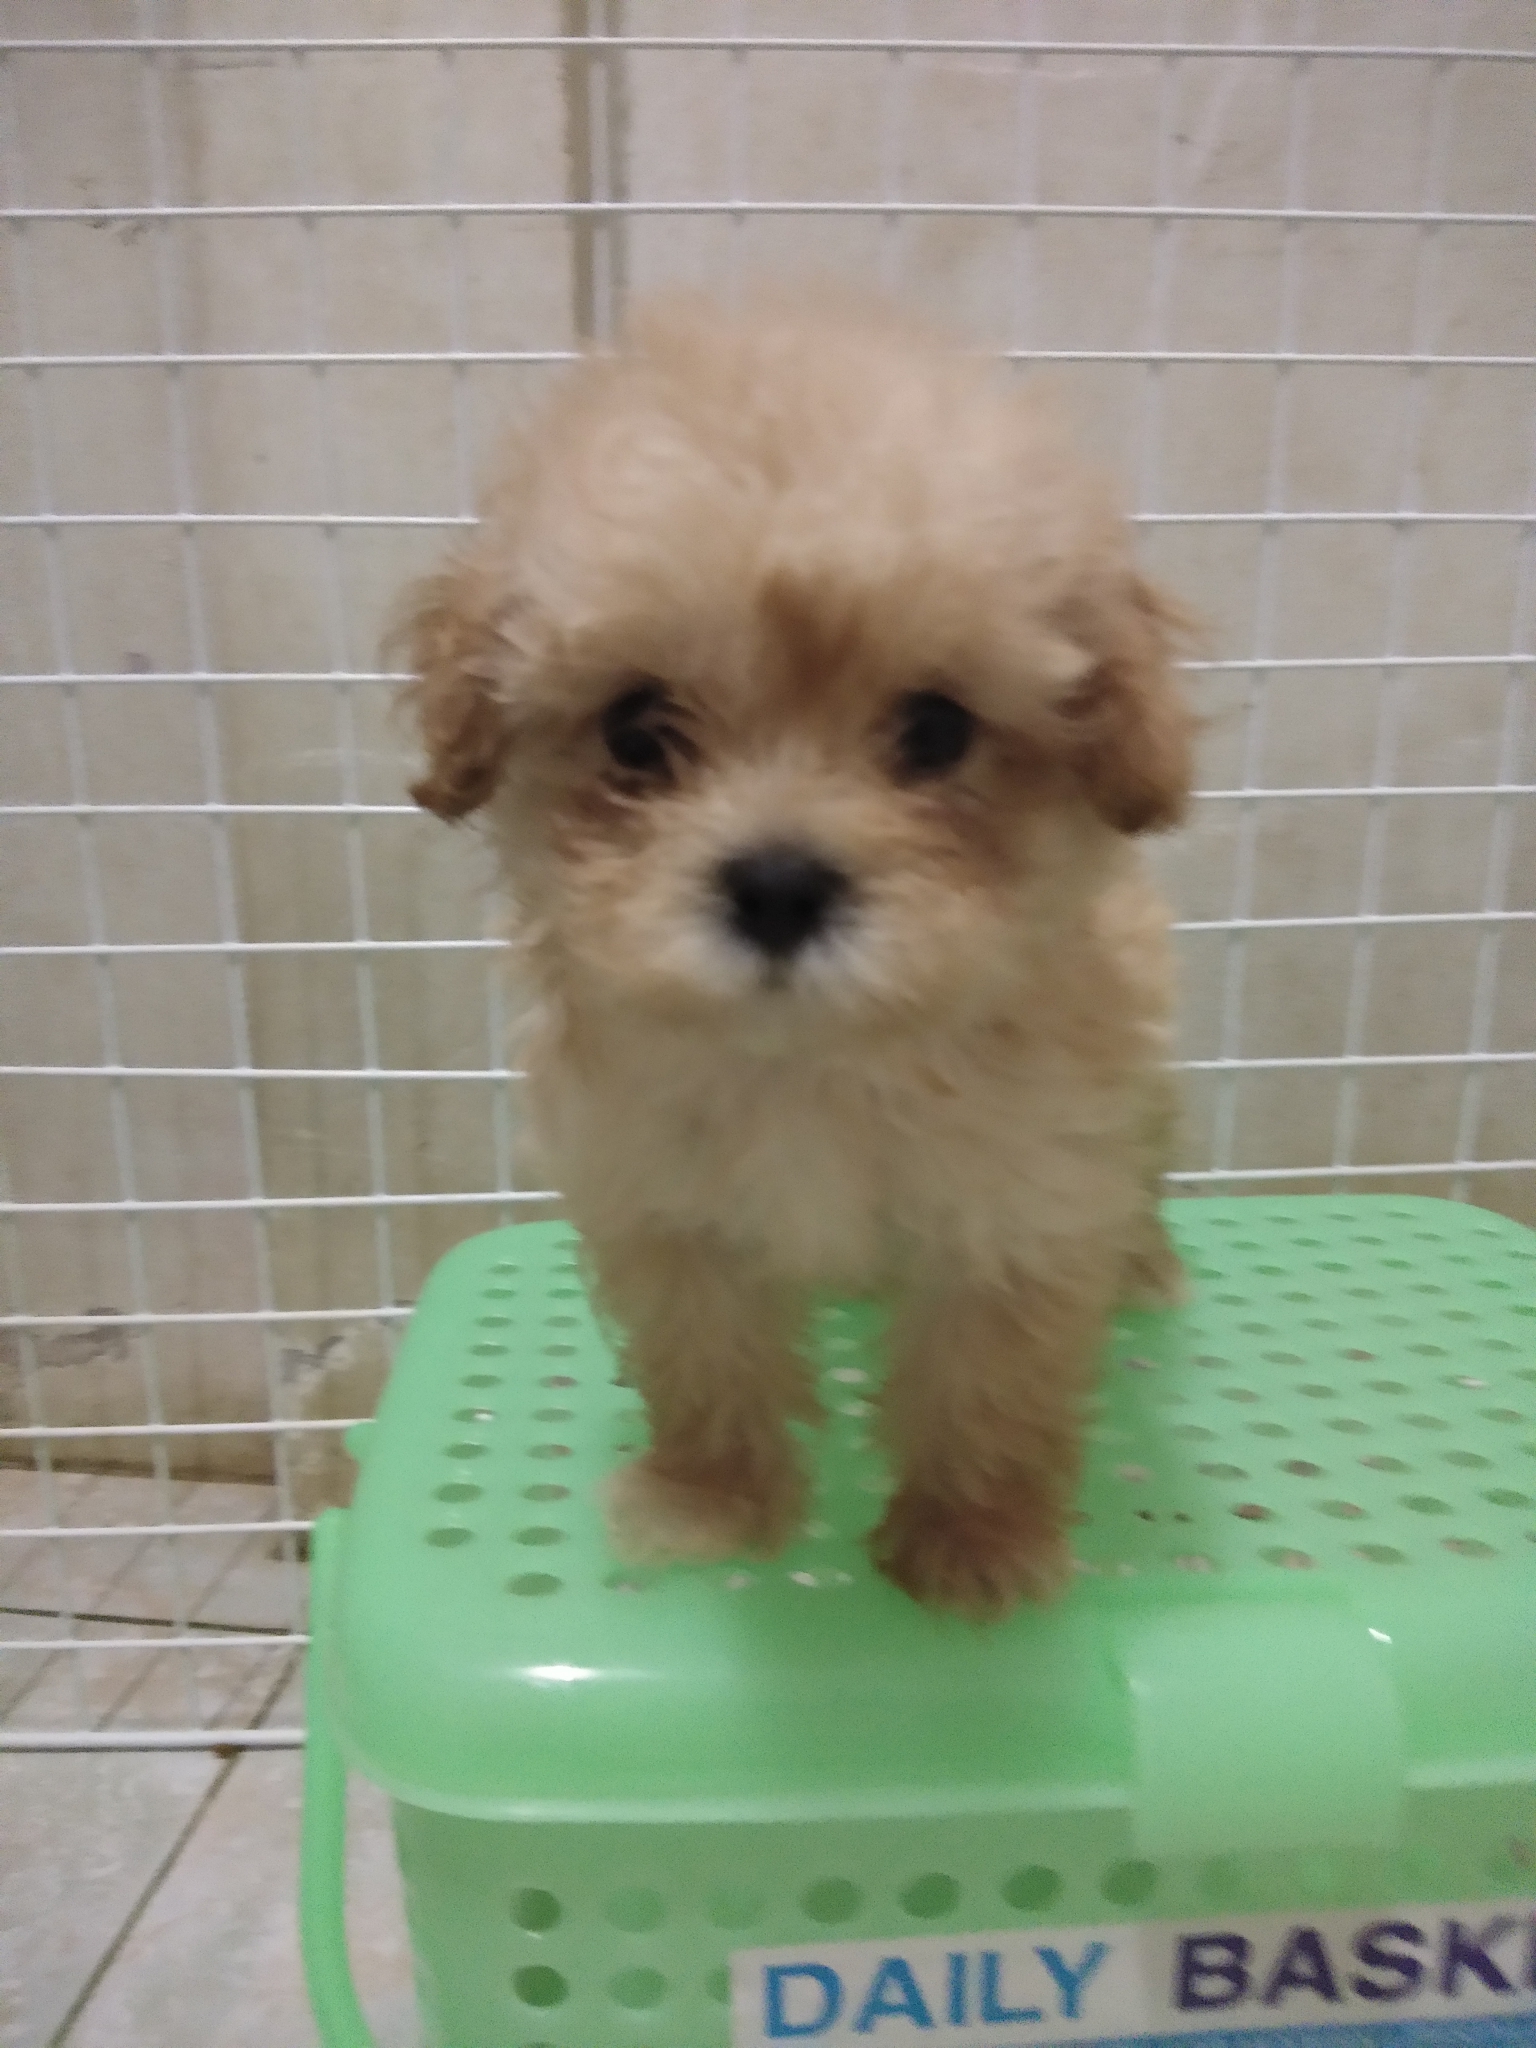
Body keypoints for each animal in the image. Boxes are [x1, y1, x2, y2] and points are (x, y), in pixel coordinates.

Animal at [398, 294, 1191, 1616]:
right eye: (637, 729)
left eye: (938, 729)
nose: (776, 884)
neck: (809, 1062)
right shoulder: (667, 1213)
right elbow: (707, 1362)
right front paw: (711, 1503)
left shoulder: (1018, 1209)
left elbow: (990, 1378)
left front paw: (974, 1540)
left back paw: (1147, 1265)